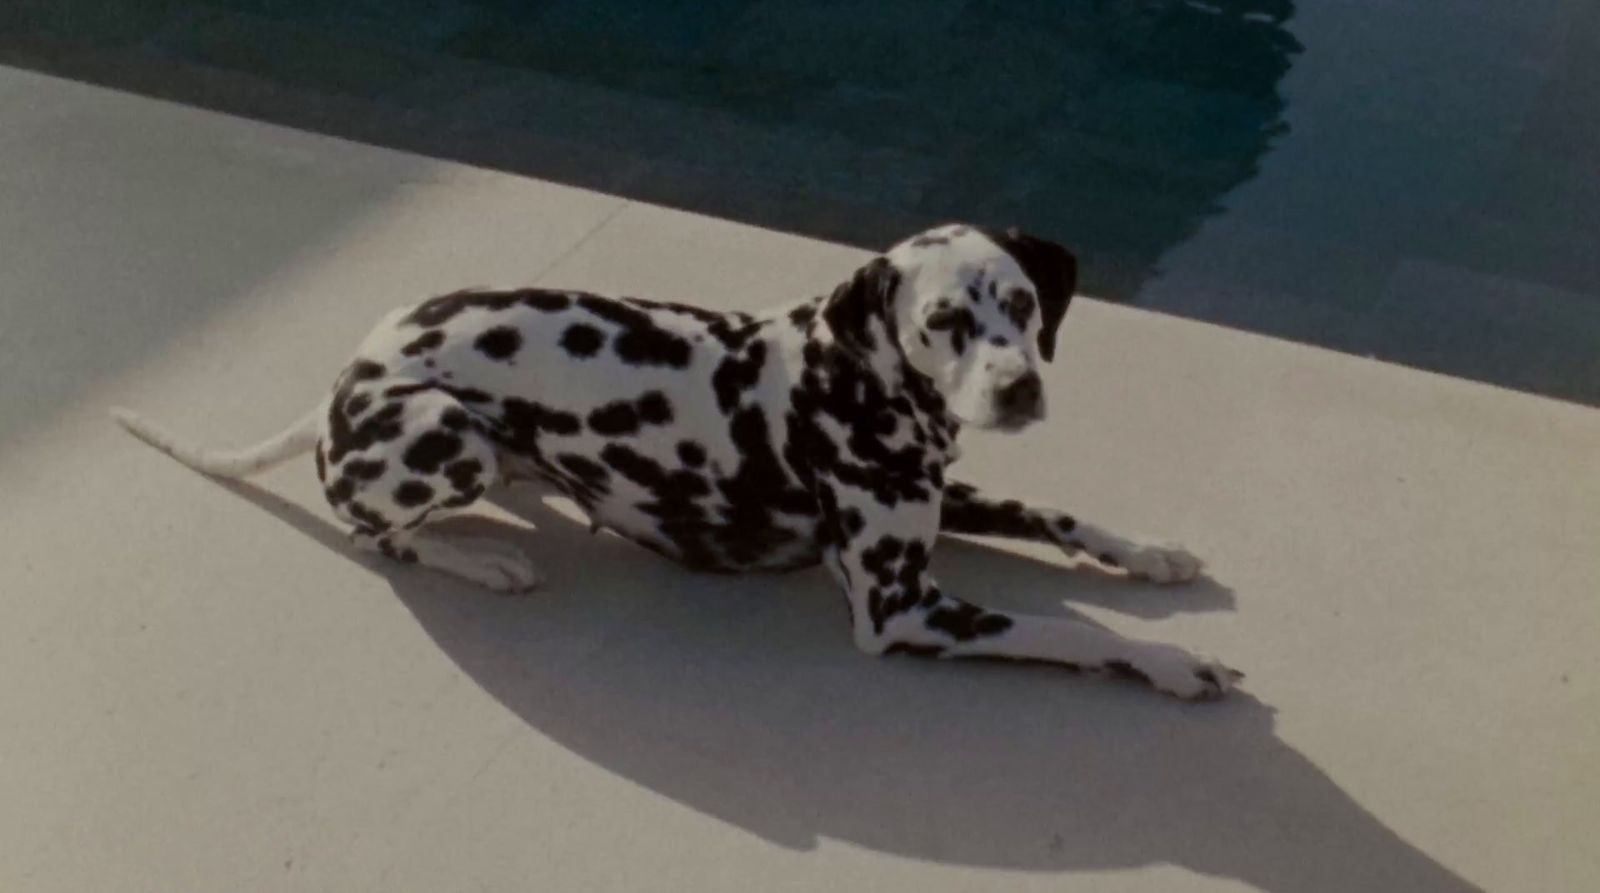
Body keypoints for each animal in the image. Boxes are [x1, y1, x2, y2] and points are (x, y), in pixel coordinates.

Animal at [116, 224, 1235, 700]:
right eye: (945, 321)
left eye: (1021, 305)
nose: (1017, 389)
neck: (851, 373)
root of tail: (352, 368)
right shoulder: (899, 608)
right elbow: (1063, 629)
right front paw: (1171, 662)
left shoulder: (942, 490)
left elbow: (1057, 515)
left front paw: (1153, 554)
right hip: (447, 433)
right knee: (372, 530)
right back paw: (485, 560)